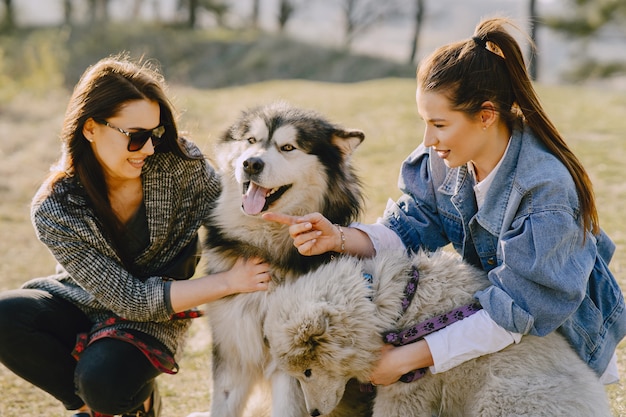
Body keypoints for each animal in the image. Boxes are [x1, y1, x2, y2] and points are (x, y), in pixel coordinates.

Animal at [190, 102, 372, 416]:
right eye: (251, 140)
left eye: (288, 147)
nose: (251, 164)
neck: (264, 250)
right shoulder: (233, 348)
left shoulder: (291, 365)